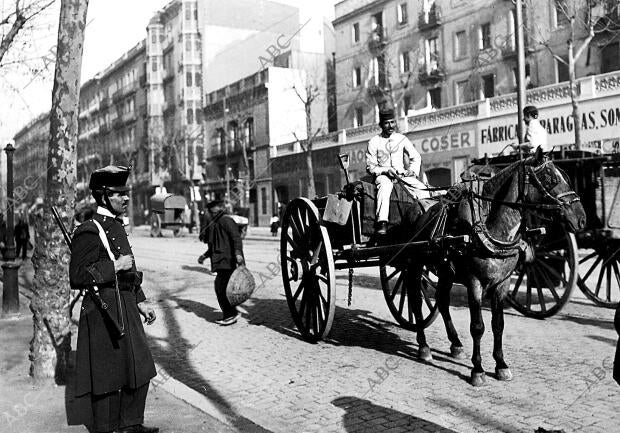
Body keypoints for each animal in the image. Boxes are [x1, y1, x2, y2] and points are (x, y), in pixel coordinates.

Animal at [402, 148, 588, 384]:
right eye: (550, 178)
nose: (581, 218)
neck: (489, 228)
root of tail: (416, 207)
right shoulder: (474, 282)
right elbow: (477, 327)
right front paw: (478, 370)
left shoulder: (502, 283)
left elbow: (498, 325)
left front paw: (501, 365)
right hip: (414, 266)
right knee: (416, 302)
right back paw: (424, 347)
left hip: (445, 272)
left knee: (442, 302)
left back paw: (455, 344)